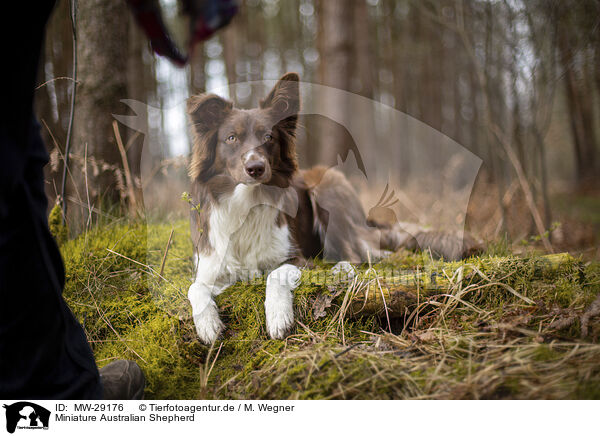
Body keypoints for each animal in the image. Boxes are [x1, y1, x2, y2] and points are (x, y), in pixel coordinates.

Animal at [186, 72, 478, 344]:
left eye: (268, 136)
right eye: (231, 138)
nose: (255, 168)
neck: (246, 204)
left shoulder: (298, 258)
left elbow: (275, 274)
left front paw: (278, 316)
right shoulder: (211, 266)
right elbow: (195, 288)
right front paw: (207, 324)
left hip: (328, 186)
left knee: (358, 254)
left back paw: (340, 269)